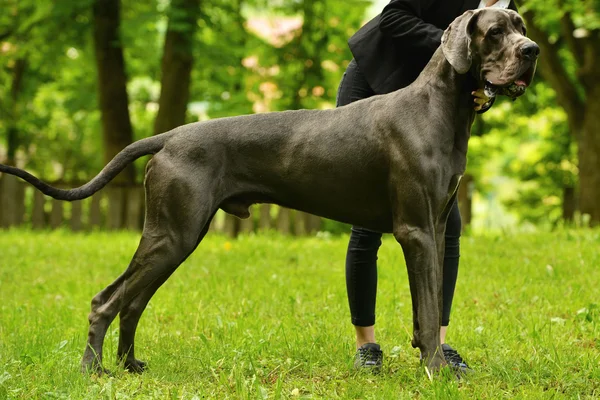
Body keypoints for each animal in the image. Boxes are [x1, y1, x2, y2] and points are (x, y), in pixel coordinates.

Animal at [1, 7, 540, 374]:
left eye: (521, 25)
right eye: (496, 31)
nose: (532, 51)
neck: (441, 106)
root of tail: (169, 136)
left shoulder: (436, 227)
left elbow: (428, 305)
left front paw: (436, 363)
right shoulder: (417, 232)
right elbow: (427, 310)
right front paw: (434, 370)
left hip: (175, 236)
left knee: (132, 302)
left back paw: (131, 367)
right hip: (173, 233)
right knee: (108, 300)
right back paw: (94, 372)